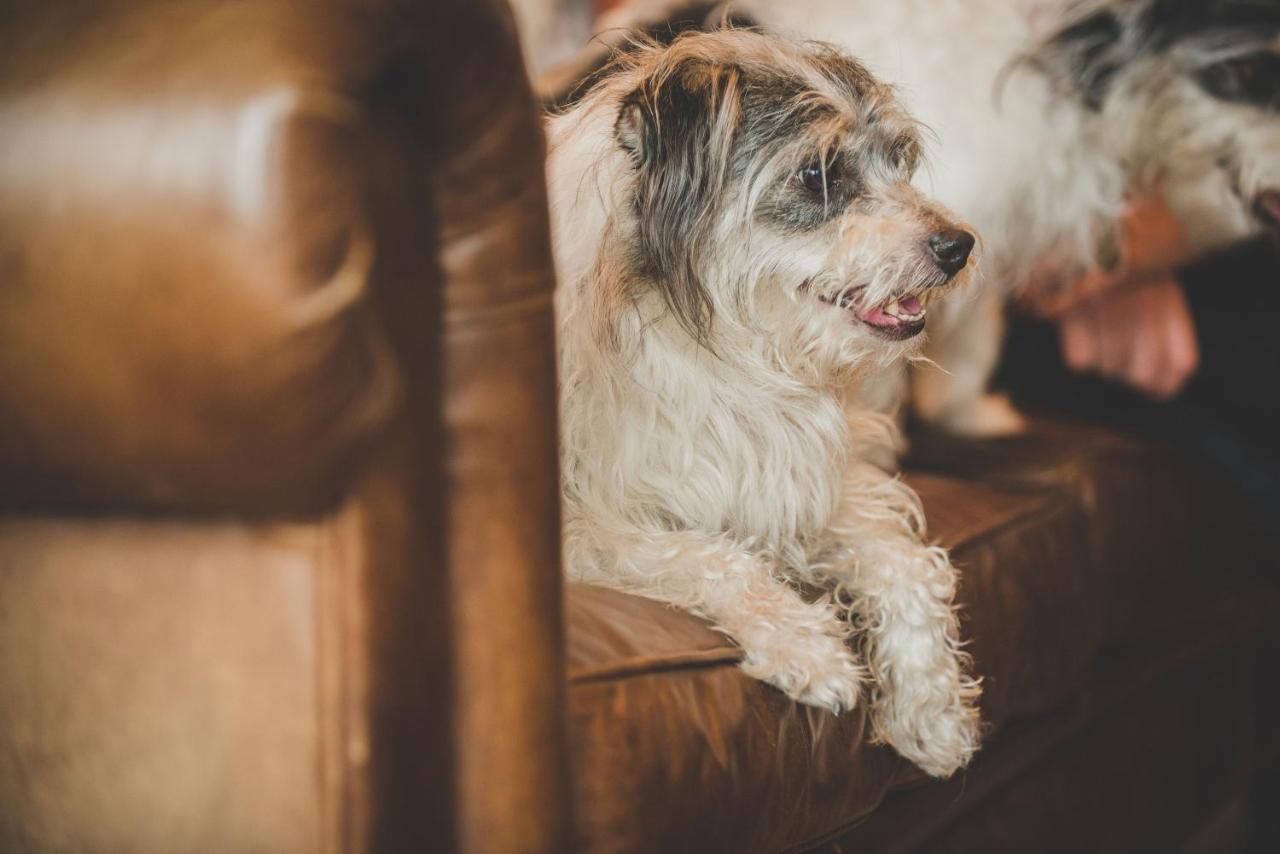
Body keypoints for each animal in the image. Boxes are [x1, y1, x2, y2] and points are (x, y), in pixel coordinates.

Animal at [547, 30, 977, 778]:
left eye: (897, 158)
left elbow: (907, 564)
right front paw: (804, 643)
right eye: (817, 175)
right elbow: (703, 556)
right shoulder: (589, 522)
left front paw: (932, 709)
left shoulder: (800, 484)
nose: (960, 245)